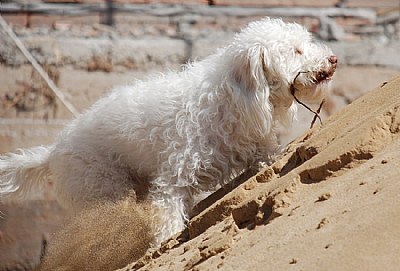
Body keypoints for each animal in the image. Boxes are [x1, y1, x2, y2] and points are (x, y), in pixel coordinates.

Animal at [0, 18, 338, 244]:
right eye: (296, 51)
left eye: (305, 44)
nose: (333, 59)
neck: (230, 98)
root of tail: (52, 151)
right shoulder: (171, 183)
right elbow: (168, 219)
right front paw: (166, 242)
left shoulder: (258, 150)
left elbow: (267, 158)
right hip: (103, 188)